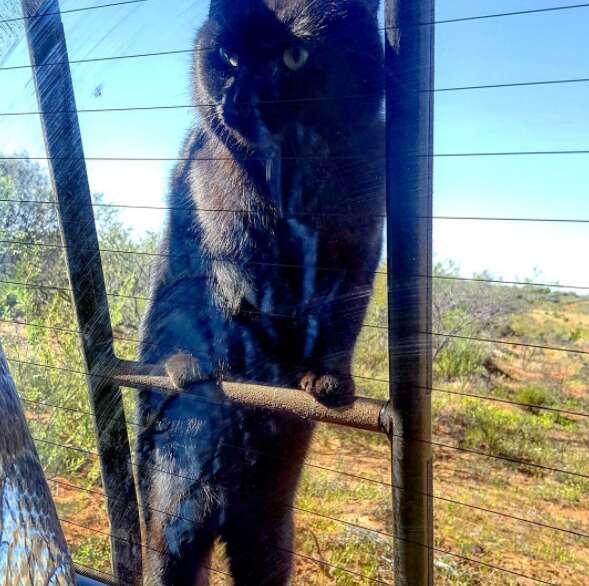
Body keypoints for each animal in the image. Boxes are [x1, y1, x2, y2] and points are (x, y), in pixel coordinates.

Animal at [137, 2, 386, 580]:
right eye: (228, 57)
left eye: (293, 56)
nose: (236, 100)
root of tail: (219, 508)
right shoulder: (217, 205)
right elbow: (236, 274)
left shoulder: (362, 246)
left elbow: (341, 318)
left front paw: (328, 379)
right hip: (171, 526)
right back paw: (192, 368)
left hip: (268, 535)